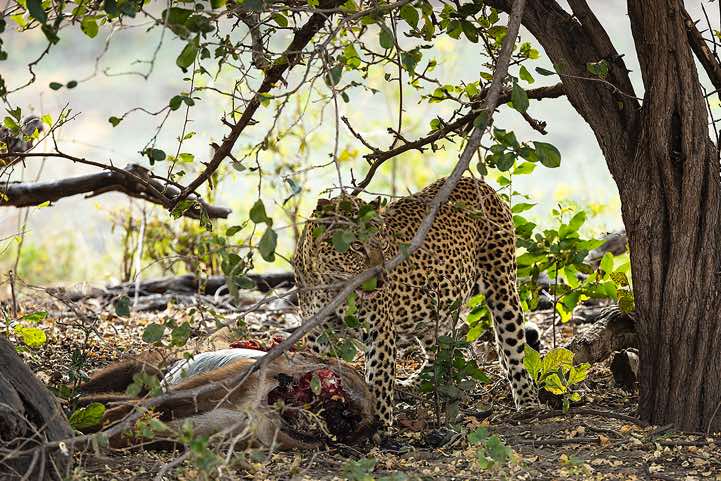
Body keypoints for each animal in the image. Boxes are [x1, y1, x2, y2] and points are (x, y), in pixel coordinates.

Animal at [293, 176, 538, 429]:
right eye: (356, 247)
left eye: (383, 243)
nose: (382, 280)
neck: (329, 283)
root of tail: (477, 182)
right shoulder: (317, 332)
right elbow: (315, 370)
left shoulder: (379, 330)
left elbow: (379, 380)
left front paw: (380, 426)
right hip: (433, 310)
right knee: (439, 352)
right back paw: (412, 384)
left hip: (503, 288)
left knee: (512, 352)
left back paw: (527, 402)